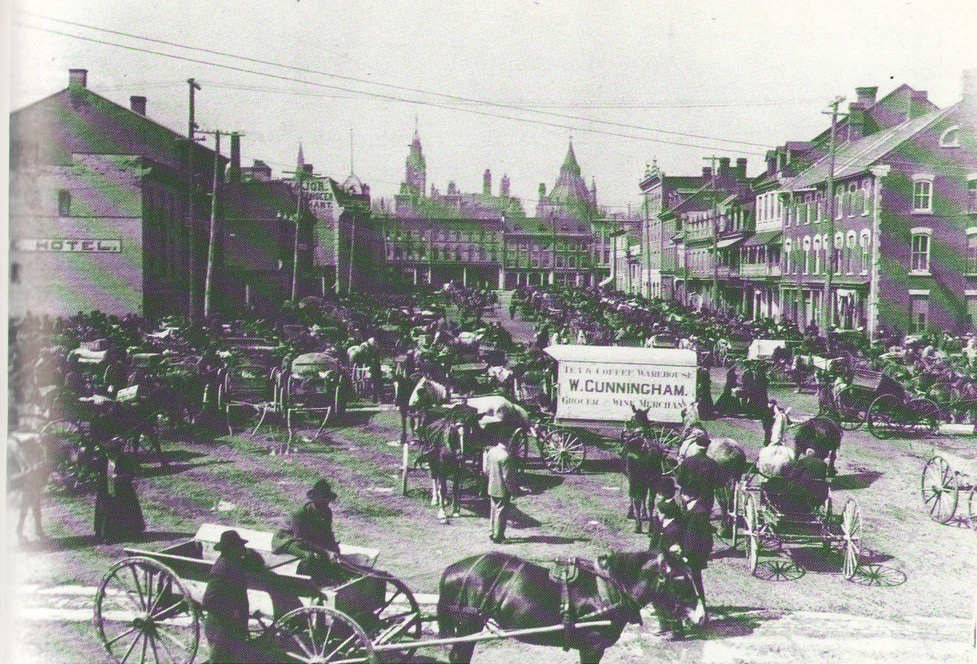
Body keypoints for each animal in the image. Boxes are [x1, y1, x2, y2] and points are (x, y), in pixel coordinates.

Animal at [438, 548, 704, 660]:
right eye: (681, 579)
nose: (701, 615)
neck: (608, 589)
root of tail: (453, 568)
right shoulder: (592, 646)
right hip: (468, 626)